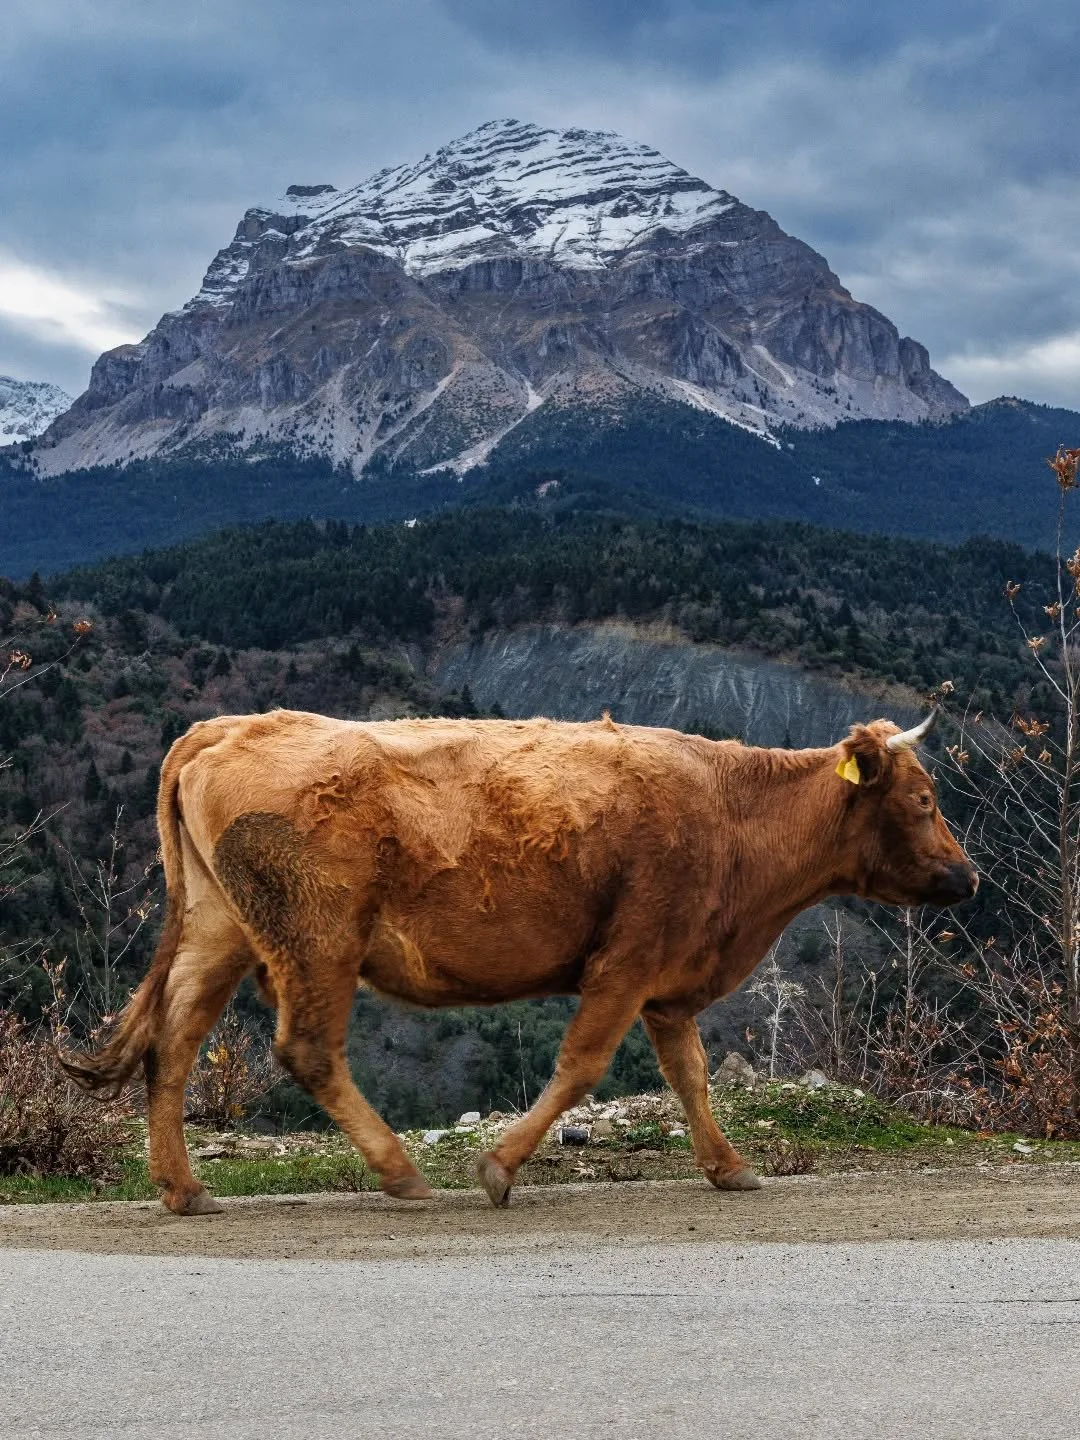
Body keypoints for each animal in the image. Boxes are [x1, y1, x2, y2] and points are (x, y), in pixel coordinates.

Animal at [62, 707, 976, 1216]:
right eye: (924, 799)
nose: (969, 876)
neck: (732, 809)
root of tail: (230, 726)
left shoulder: (668, 981)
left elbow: (690, 1074)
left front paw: (729, 1167)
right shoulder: (627, 961)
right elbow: (582, 1067)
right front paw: (498, 1168)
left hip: (219, 931)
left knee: (173, 1044)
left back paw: (183, 1190)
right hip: (318, 941)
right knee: (307, 1050)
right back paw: (401, 1174)